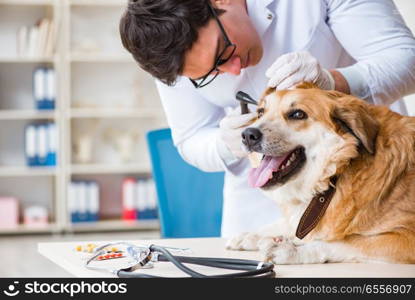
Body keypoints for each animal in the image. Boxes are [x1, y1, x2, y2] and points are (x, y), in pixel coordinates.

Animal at [226, 83, 415, 264]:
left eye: (297, 114)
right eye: (260, 112)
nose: (248, 134)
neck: (335, 175)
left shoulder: (405, 237)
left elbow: (344, 242)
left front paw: (292, 250)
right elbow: (287, 225)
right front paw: (253, 234)